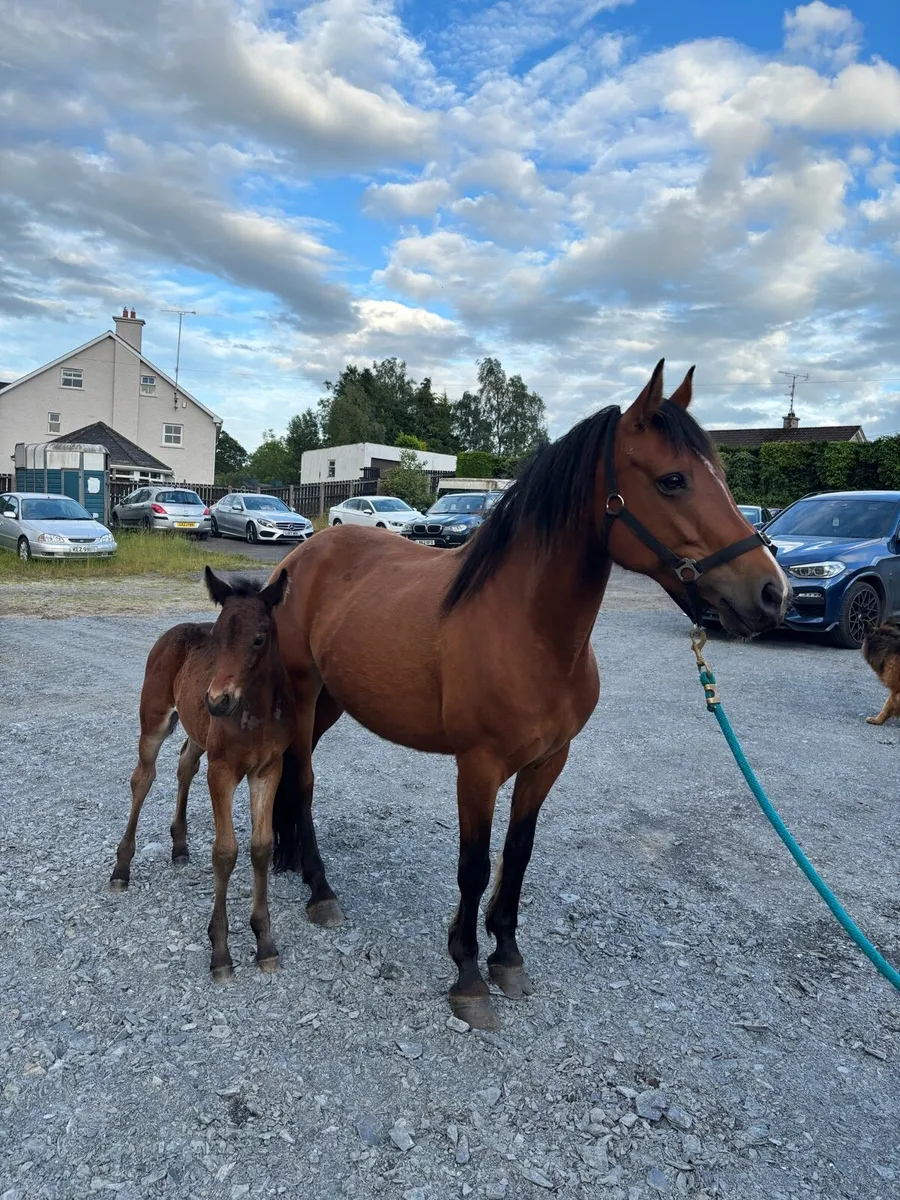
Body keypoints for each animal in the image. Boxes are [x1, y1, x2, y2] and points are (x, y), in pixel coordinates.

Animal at [109, 567, 293, 981]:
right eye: (218, 637)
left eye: (259, 638)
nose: (217, 701)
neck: (254, 713)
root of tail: (174, 630)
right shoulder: (222, 770)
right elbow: (225, 852)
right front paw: (221, 951)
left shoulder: (268, 770)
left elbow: (260, 847)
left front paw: (265, 942)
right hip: (155, 721)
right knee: (142, 778)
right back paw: (121, 868)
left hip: (196, 732)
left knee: (184, 764)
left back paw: (179, 846)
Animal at [267, 361, 789, 1030]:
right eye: (673, 480)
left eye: (722, 476)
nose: (772, 594)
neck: (527, 629)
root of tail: (304, 553)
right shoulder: (478, 766)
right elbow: (473, 865)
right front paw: (467, 975)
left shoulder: (547, 761)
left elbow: (517, 854)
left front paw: (507, 955)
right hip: (304, 692)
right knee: (304, 778)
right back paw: (319, 889)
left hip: (330, 701)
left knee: (294, 766)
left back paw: (288, 861)